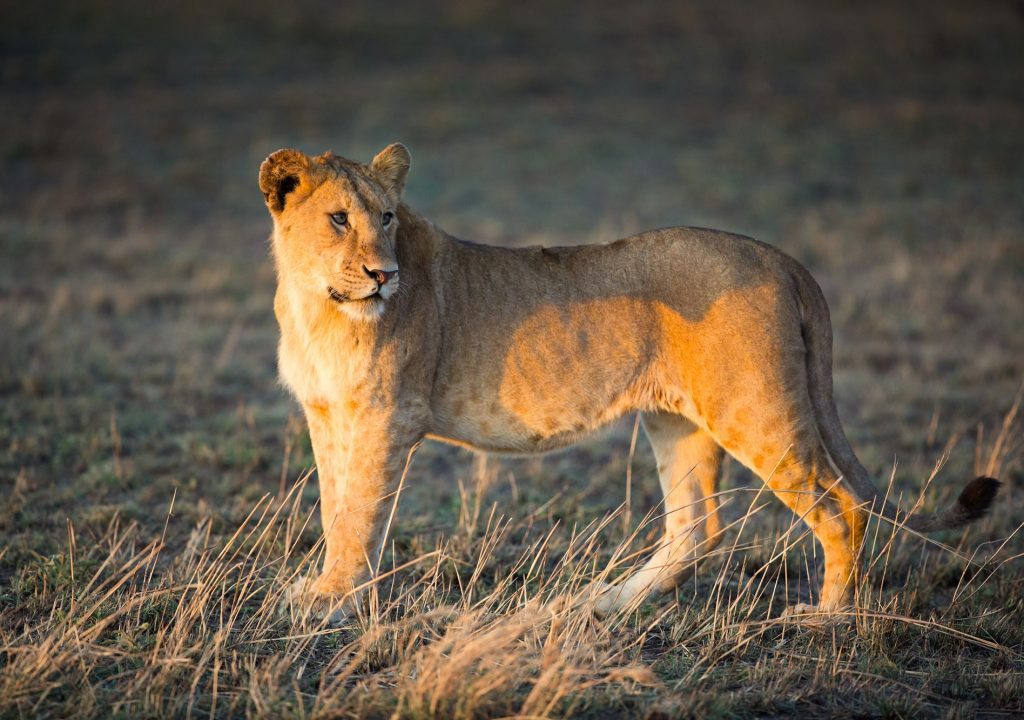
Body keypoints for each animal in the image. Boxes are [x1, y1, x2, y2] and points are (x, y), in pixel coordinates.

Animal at [258, 143, 999, 622]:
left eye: (386, 217)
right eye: (338, 218)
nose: (383, 275)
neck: (315, 303)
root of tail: (781, 257)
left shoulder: (388, 417)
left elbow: (360, 514)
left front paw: (332, 602)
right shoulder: (328, 415)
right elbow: (336, 507)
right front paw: (328, 591)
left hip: (756, 411)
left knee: (841, 507)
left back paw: (828, 618)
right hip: (679, 421)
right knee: (697, 530)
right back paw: (606, 603)